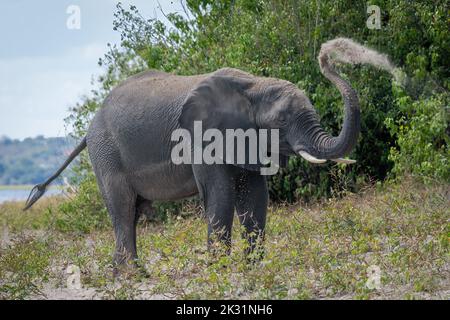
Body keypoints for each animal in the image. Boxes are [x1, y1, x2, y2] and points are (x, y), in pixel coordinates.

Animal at [24, 38, 394, 270]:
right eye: (281, 121)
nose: (329, 54)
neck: (253, 85)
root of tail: (90, 127)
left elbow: (255, 196)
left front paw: (252, 269)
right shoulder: (201, 136)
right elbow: (221, 194)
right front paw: (221, 272)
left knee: (133, 213)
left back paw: (129, 277)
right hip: (106, 151)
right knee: (123, 209)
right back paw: (130, 277)